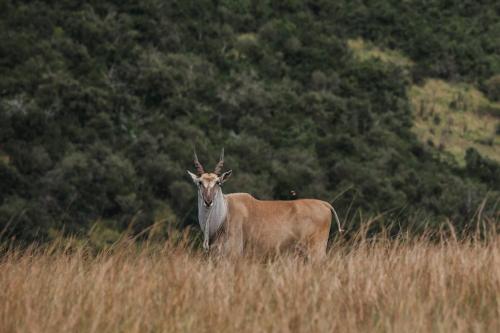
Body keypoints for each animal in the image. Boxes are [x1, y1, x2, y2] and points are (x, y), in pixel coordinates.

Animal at [188, 149, 344, 258]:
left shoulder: (234, 254)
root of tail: (324, 204)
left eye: (218, 182)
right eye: (199, 182)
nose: (208, 201)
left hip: (317, 251)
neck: (224, 214)